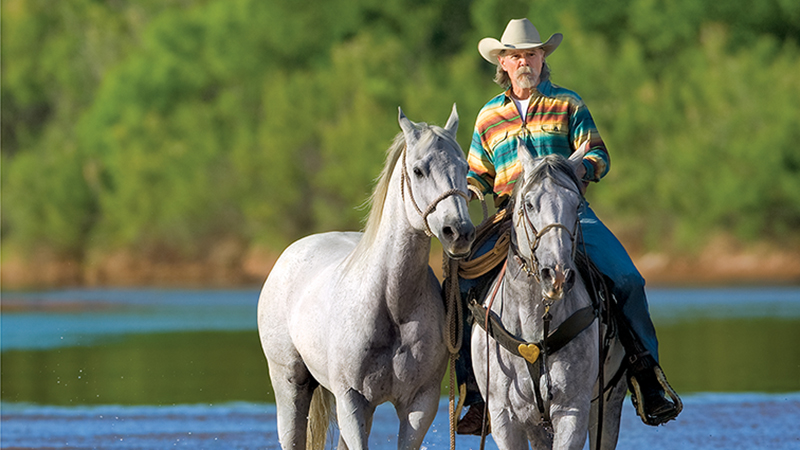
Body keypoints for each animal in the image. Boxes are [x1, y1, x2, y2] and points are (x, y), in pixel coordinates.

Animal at [257, 106, 475, 450]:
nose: (459, 232)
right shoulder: (352, 399)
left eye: (464, 167)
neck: (390, 303)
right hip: (291, 384)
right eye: (418, 171)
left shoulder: (419, 404)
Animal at [468, 149, 627, 450]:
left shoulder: (572, 410)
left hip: (609, 400)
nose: (557, 275)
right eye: (529, 204)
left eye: (577, 205)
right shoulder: (504, 417)